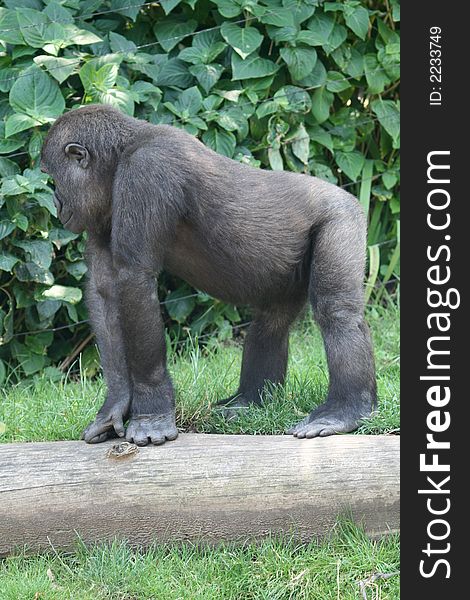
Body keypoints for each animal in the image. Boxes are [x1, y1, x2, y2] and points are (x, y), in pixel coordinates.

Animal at [41, 105, 378, 448]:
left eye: (52, 177)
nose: (56, 203)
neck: (123, 151)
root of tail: (347, 196)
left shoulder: (148, 170)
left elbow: (134, 278)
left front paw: (151, 412)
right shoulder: (100, 212)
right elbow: (105, 291)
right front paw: (116, 403)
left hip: (341, 216)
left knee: (336, 311)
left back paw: (345, 410)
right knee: (271, 321)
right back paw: (249, 402)